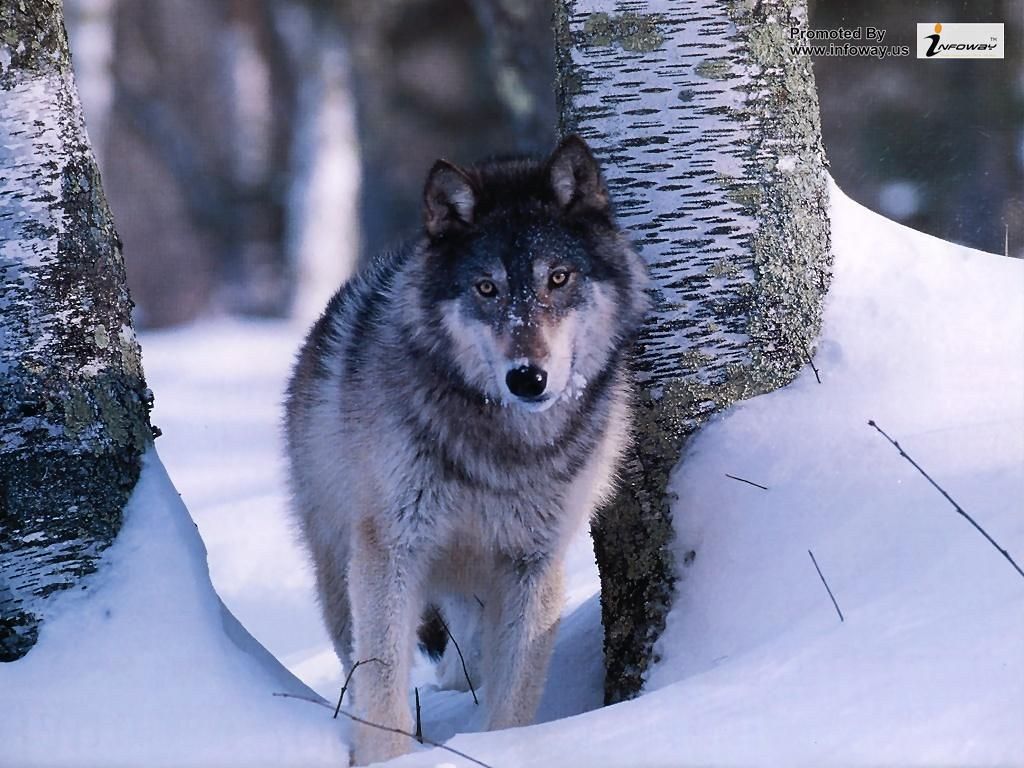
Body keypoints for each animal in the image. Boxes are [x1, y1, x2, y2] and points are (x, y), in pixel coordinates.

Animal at [284, 135, 648, 764]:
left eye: (559, 278)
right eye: (487, 288)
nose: (527, 378)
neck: (501, 452)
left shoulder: (534, 566)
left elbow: (514, 699)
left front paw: (502, 749)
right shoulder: (390, 551)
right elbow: (382, 691)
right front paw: (387, 759)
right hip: (340, 571)